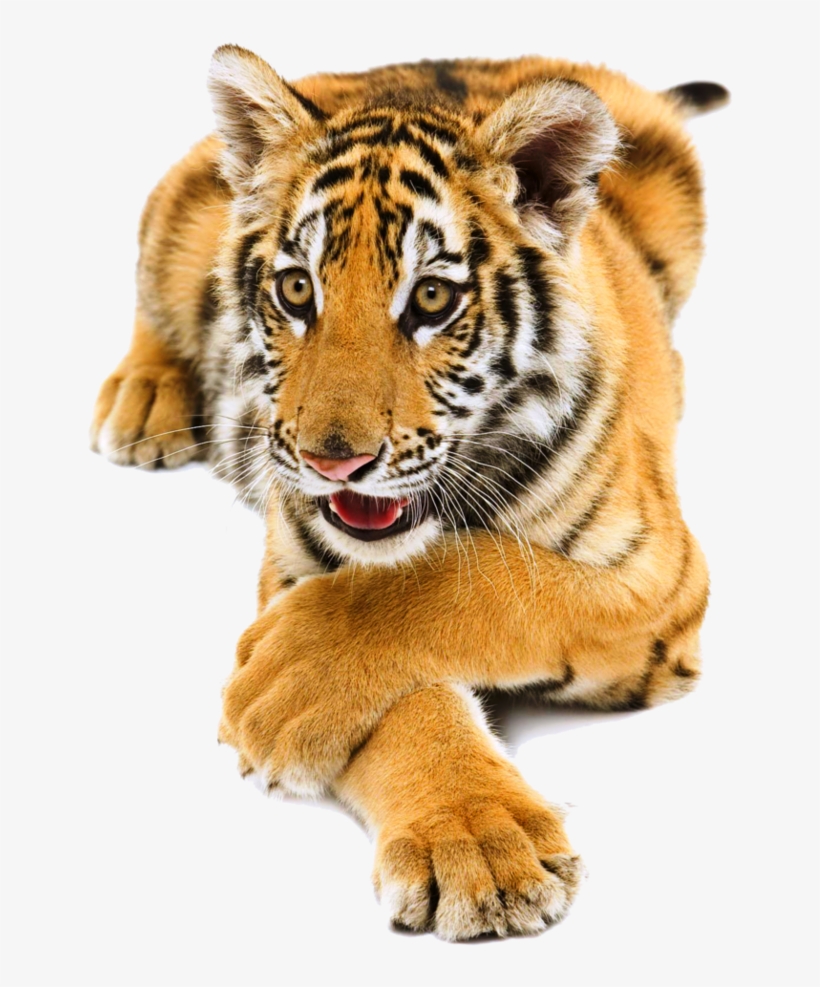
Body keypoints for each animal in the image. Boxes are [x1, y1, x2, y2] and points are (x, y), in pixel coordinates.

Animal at [90, 46, 727, 940]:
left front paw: (286, 677)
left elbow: (487, 582)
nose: (333, 462)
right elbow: (415, 699)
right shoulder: (297, 558)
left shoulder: (662, 571)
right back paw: (144, 401)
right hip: (175, 228)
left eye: (431, 298)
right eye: (296, 290)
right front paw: (477, 843)